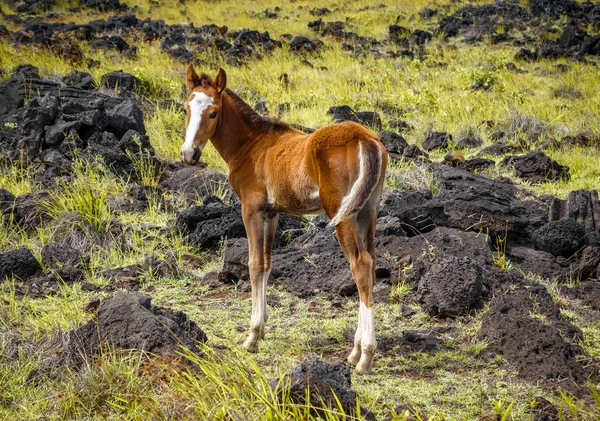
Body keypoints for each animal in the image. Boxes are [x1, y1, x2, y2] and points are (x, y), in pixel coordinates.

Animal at [180, 64, 386, 372]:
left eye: (213, 112)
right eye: (186, 108)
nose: (189, 154)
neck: (252, 144)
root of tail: (365, 138)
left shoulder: (251, 209)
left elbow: (254, 264)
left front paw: (252, 336)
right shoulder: (272, 212)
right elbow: (266, 264)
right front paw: (262, 327)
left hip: (342, 214)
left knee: (360, 265)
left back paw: (365, 357)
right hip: (366, 212)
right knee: (370, 264)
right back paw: (354, 351)